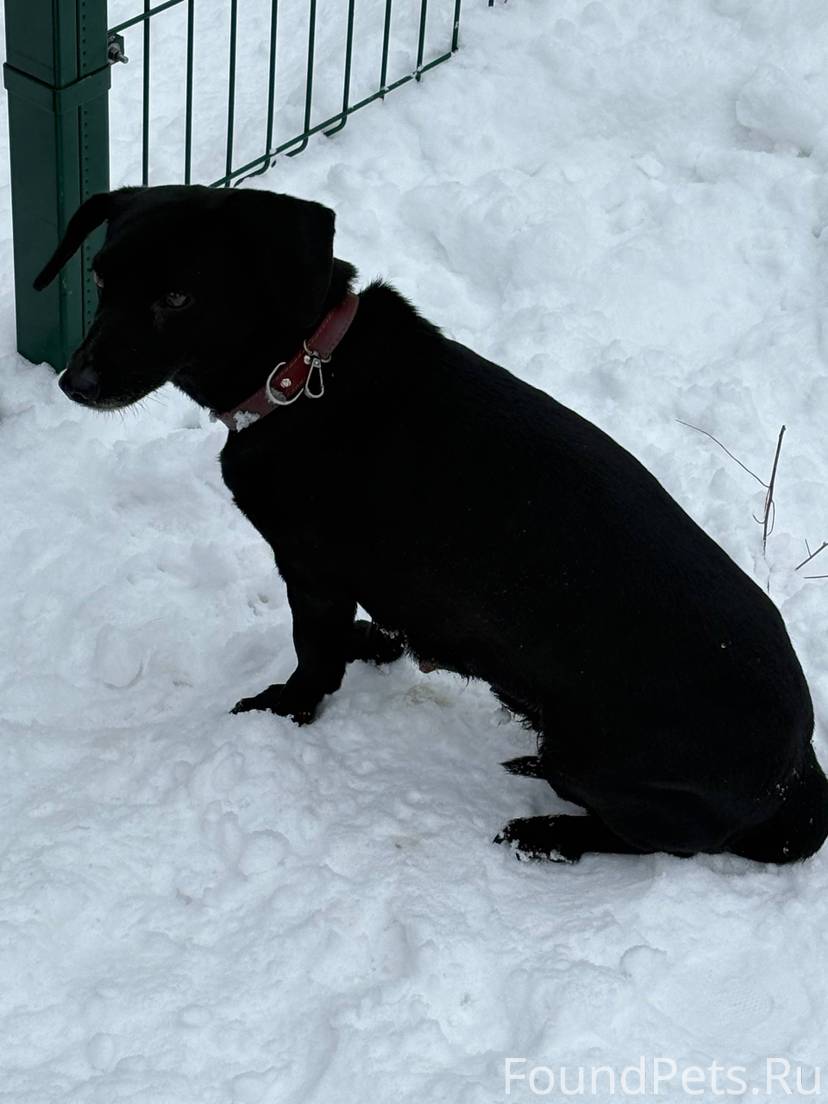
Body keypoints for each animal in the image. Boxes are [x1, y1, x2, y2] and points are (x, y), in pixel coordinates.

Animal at [34, 184, 828, 864]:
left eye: (177, 295)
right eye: (100, 279)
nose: (76, 383)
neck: (303, 373)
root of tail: (797, 778)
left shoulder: (311, 571)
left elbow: (312, 658)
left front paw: (285, 708)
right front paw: (375, 645)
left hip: (595, 762)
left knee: (655, 841)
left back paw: (549, 831)